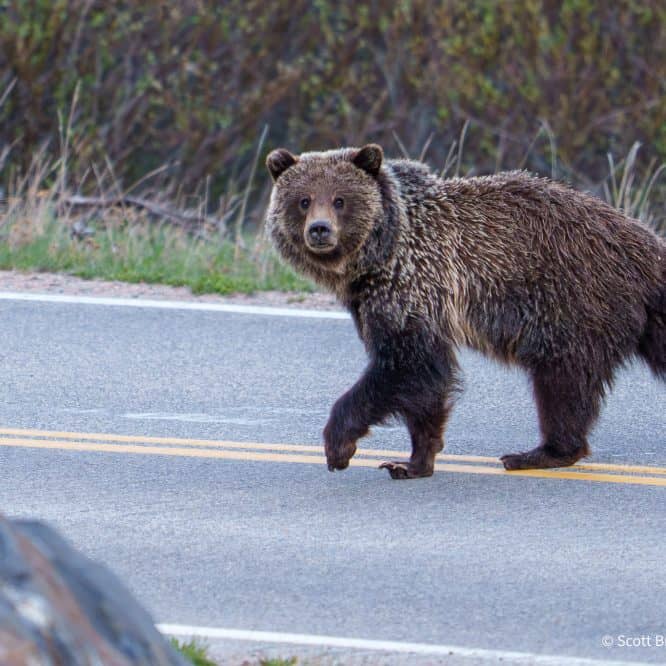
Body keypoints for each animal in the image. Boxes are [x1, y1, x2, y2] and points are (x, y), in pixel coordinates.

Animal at [265, 144, 665, 479]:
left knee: (560, 381)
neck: (379, 255)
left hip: (573, 301)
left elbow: (408, 365)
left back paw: (538, 453)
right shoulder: (382, 302)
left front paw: (339, 446)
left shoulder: (412, 284)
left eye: (340, 199)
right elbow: (425, 381)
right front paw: (412, 462)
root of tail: (644, 242)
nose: (319, 230)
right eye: (303, 200)